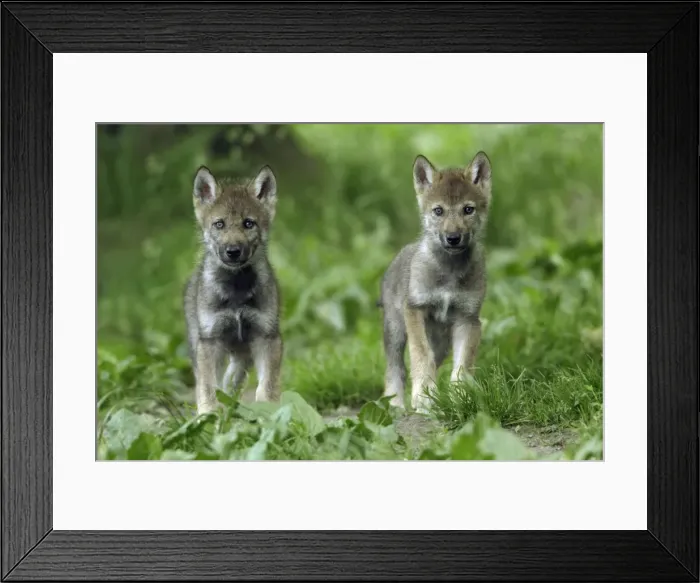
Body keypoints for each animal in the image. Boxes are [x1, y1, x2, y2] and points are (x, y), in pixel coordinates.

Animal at [183, 165, 283, 415]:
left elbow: (267, 386)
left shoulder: (267, 336)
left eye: (249, 223)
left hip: (243, 352)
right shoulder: (210, 340)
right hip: (201, 344)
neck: (236, 291)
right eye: (219, 224)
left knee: (233, 378)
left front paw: (269, 412)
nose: (233, 251)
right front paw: (208, 413)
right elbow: (208, 387)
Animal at [378, 151, 492, 412]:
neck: (449, 274)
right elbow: (421, 355)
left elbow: (461, 366)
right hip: (395, 330)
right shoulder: (416, 310)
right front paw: (423, 397)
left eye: (468, 209)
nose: (453, 238)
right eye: (438, 211)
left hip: (441, 341)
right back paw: (396, 404)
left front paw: (459, 399)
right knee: (396, 368)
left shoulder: (468, 320)